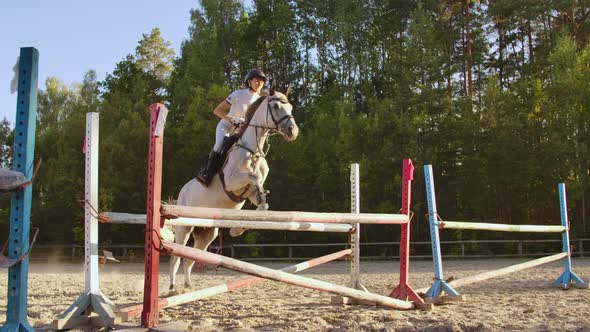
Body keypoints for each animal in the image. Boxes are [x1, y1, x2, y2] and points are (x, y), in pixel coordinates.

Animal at [170, 85, 300, 290]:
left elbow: (263, 203)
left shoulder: (248, 193)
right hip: (185, 226)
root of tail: (181, 193)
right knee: (176, 257)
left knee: (190, 258)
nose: (292, 131)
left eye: (291, 107)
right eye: (276, 106)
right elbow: (254, 177)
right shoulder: (232, 181)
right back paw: (172, 289)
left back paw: (188, 287)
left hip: (208, 232)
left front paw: (238, 229)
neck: (253, 151)